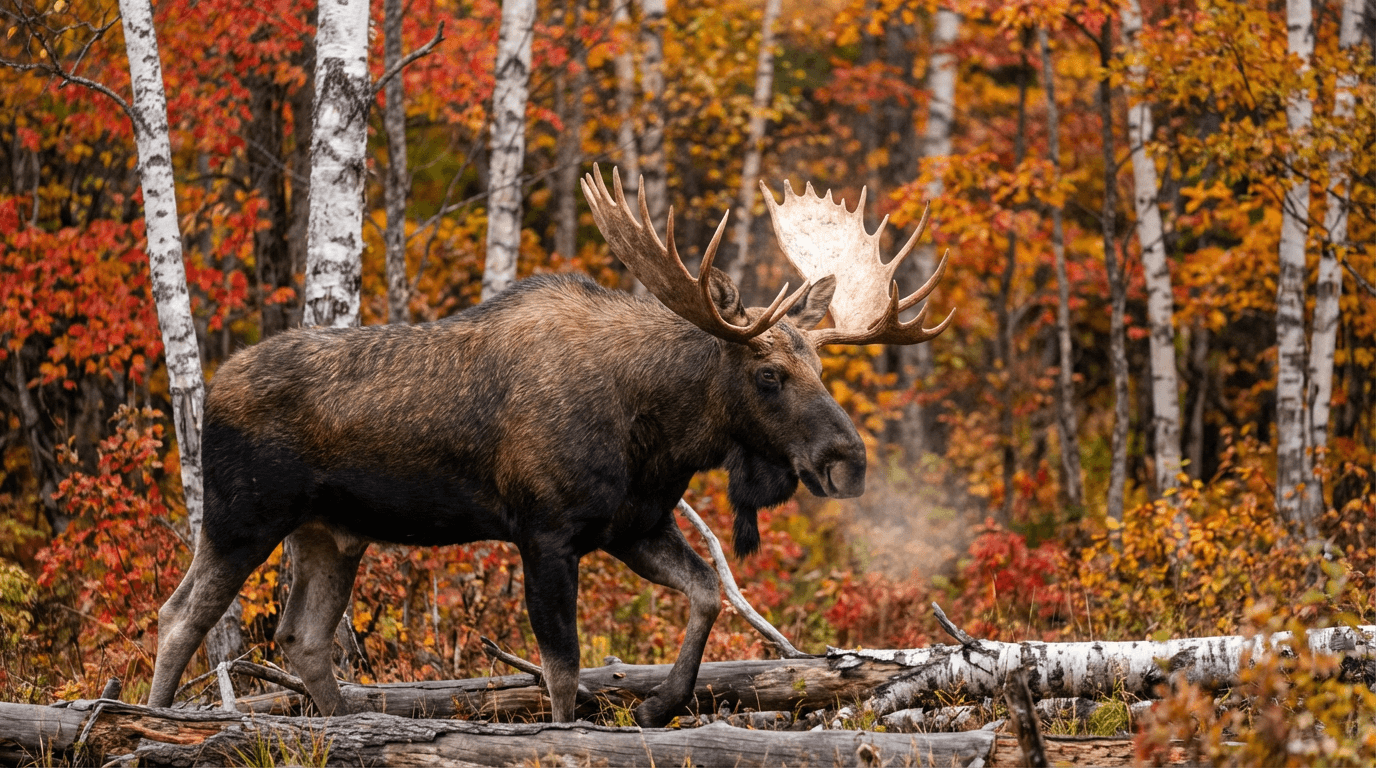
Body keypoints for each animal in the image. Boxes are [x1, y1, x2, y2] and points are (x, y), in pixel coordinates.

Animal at [146, 165, 953, 727]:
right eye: (768, 373)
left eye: (818, 365)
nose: (848, 461)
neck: (658, 436)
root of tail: (210, 391)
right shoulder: (546, 532)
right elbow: (563, 669)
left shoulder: (633, 526)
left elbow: (706, 592)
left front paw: (658, 704)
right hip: (242, 514)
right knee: (179, 615)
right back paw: (151, 721)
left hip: (333, 533)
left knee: (302, 636)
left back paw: (347, 726)